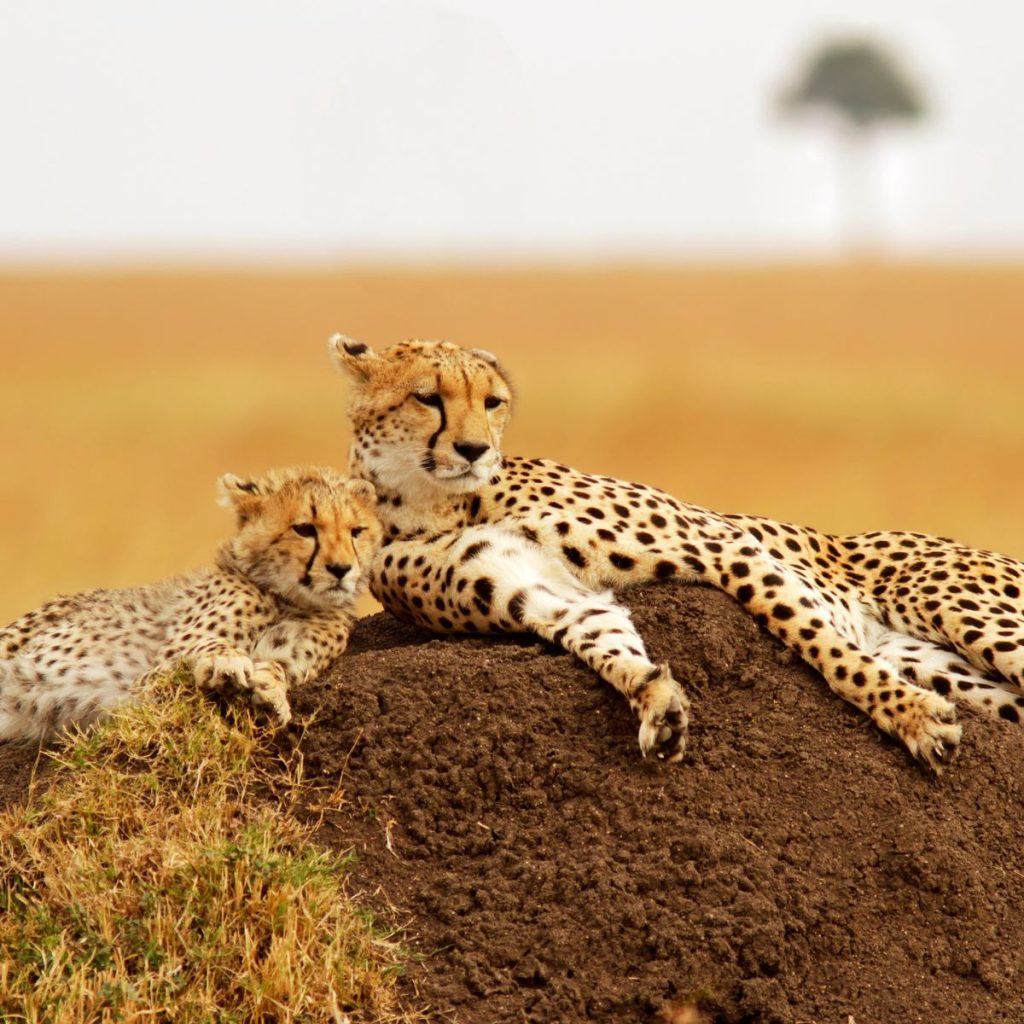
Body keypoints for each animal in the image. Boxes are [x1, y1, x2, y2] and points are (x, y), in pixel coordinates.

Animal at [0, 466, 380, 745]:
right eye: (304, 529)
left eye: (357, 531)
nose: (341, 569)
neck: (287, 598)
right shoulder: (152, 676)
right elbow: (207, 647)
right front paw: (225, 662)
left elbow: (277, 666)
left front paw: (270, 690)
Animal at [331, 335, 1024, 774]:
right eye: (427, 397)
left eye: (492, 402)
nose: (475, 450)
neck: (436, 502)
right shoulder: (544, 594)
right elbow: (604, 640)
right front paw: (656, 703)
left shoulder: (723, 545)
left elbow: (820, 643)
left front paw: (909, 715)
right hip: (950, 667)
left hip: (966, 614)